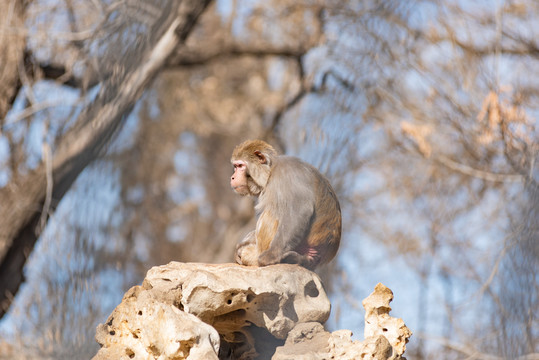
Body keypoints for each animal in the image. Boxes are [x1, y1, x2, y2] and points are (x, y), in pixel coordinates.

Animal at [229, 139, 340, 268]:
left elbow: (300, 209)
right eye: (235, 166)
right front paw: (242, 244)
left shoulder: (287, 174)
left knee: (271, 214)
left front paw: (271, 256)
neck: (270, 171)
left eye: (240, 166)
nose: (232, 177)